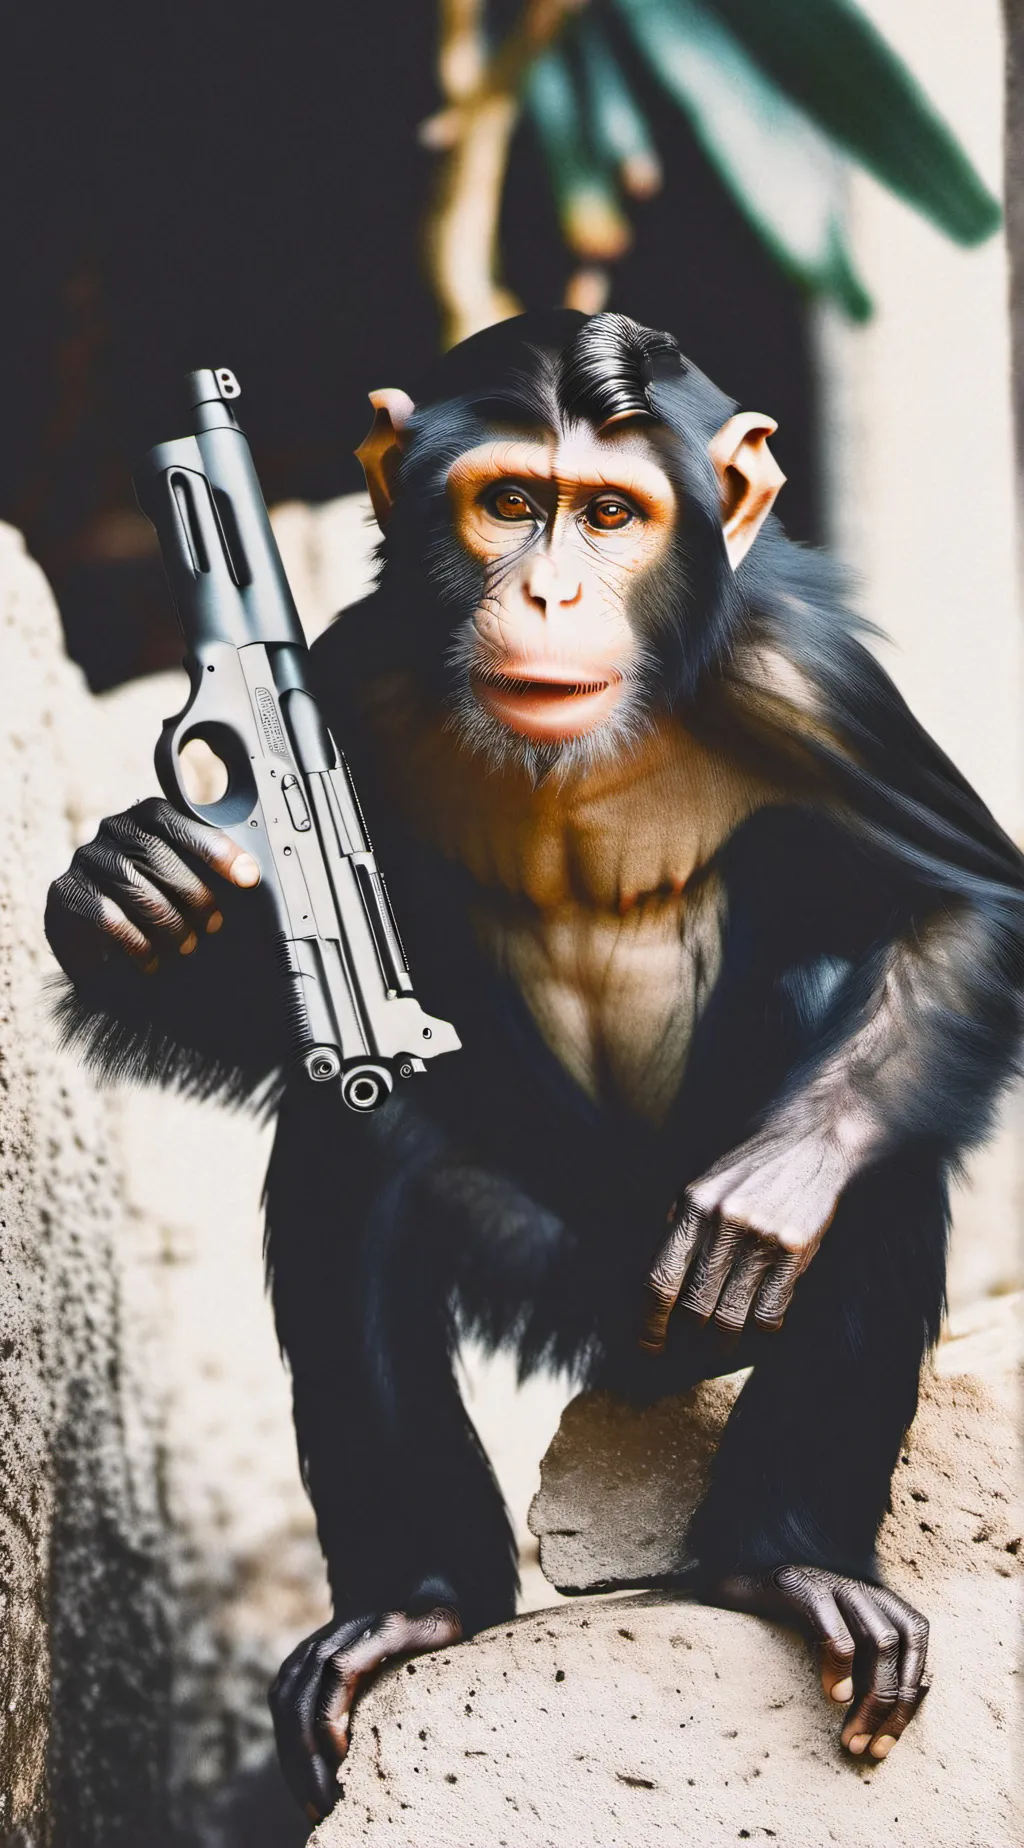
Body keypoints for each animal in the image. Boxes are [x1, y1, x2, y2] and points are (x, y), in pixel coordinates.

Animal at [45, 310, 1024, 1820]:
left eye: (610, 514)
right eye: (510, 502)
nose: (553, 591)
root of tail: (621, 1361)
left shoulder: (810, 682)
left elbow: (966, 903)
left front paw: (764, 1200)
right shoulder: (358, 670)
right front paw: (133, 887)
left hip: (667, 1316)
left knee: (877, 1150)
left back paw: (792, 1565)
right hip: (549, 1277)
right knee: (345, 1162)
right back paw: (417, 1605)